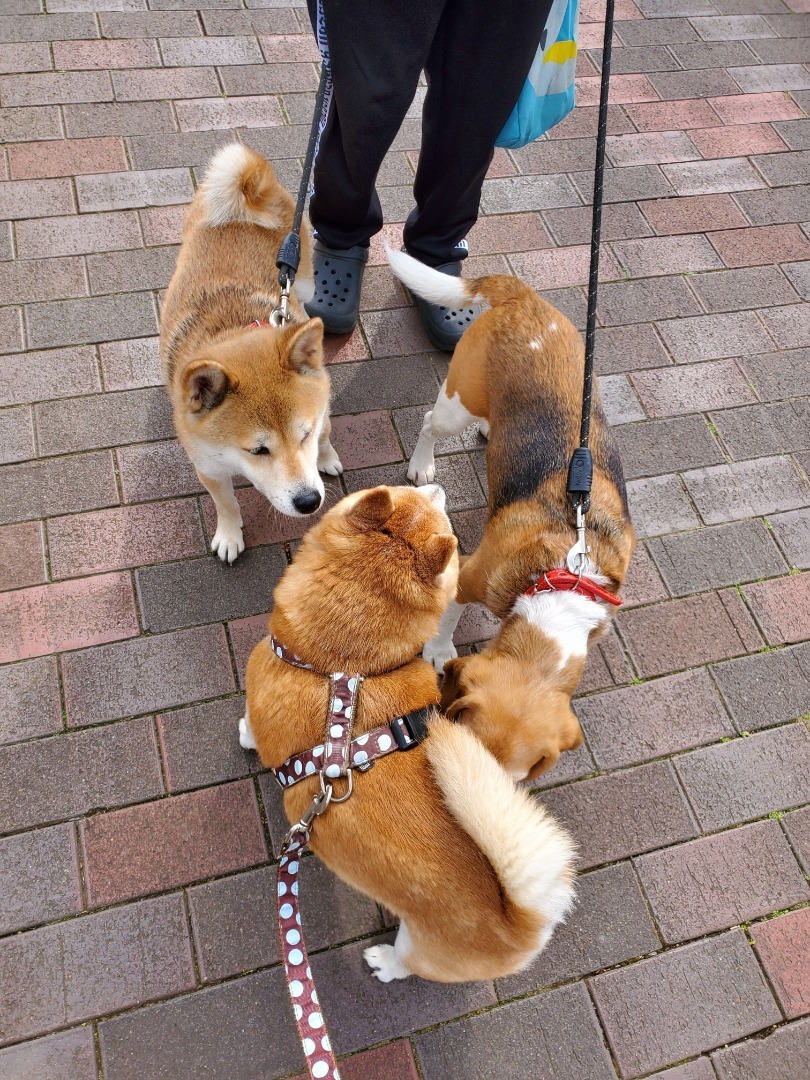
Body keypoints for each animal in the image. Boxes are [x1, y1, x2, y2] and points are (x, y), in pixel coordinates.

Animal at [162, 143, 343, 565]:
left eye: (303, 435)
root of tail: (245, 199)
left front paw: (325, 457)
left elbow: (326, 434)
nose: (309, 502)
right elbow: (226, 504)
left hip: (305, 282)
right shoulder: (208, 467)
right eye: (258, 450)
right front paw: (229, 535)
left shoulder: (322, 407)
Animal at [240, 486, 578, 984]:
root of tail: (518, 924)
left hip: (417, 948)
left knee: (406, 966)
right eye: (411, 494)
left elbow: (246, 727)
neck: (343, 664)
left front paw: (243, 735)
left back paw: (384, 963)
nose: (436, 486)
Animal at [390, 248, 639, 781]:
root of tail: (525, 298)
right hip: (456, 404)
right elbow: (448, 618)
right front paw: (438, 652)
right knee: (430, 423)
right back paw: (422, 464)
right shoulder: (469, 575)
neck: (564, 580)